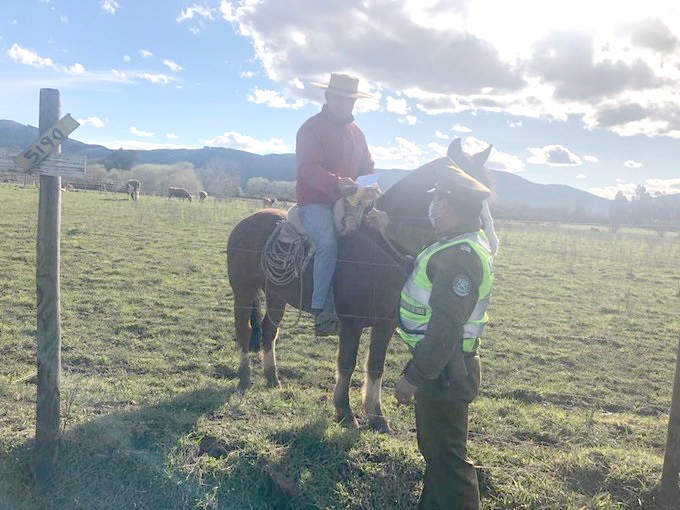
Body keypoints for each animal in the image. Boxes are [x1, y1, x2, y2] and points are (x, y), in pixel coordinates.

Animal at [226, 138, 492, 430]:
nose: (479, 233)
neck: (377, 250)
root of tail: (246, 223)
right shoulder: (351, 323)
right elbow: (347, 363)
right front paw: (344, 411)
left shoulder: (385, 323)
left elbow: (375, 365)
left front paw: (376, 416)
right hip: (243, 291)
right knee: (244, 330)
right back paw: (244, 376)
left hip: (276, 297)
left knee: (269, 330)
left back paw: (272, 378)